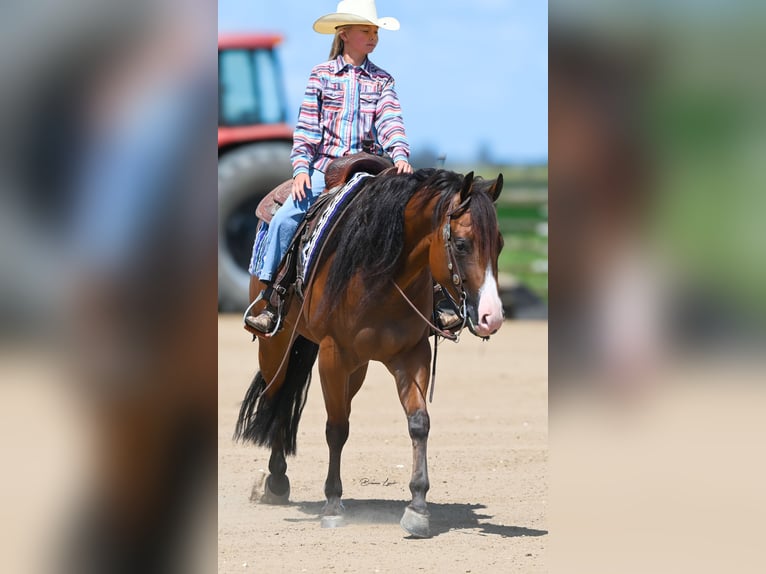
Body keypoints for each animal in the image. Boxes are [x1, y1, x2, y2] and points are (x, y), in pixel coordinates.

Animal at [236, 166, 510, 540]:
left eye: (499, 243)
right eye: (462, 244)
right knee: (277, 397)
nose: (491, 317)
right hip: (276, 344)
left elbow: (418, 422)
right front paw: (333, 505)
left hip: (359, 366)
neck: (382, 271)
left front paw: (417, 508)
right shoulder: (333, 354)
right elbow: (336, 428)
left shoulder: (412, 354)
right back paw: (277, 480)